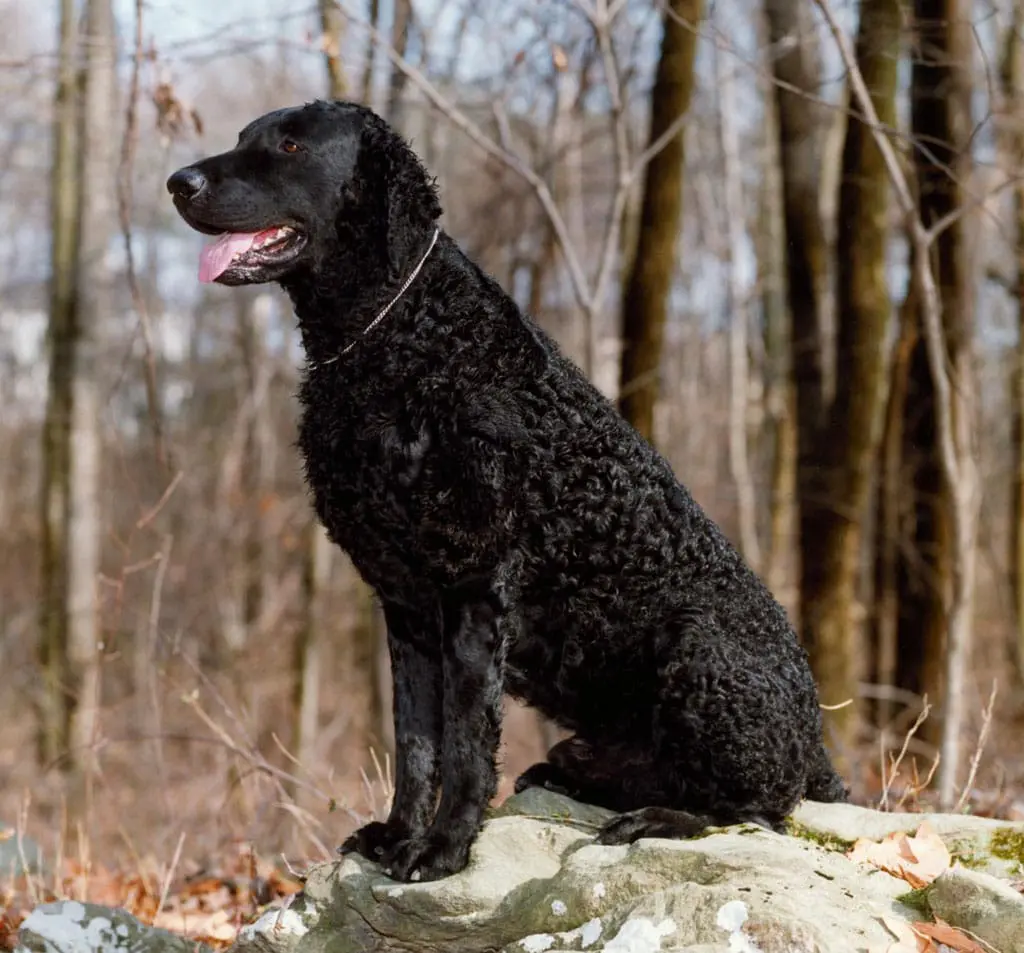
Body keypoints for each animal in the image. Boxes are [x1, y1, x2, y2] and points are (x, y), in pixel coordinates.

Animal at [165, 100, 839, 884]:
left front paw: (444, 848)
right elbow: (415, 742)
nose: (178, 182)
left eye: (292, 145)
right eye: (245, 137)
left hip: (702, 650)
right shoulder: (405, 602)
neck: (395, 335)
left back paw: (656, 818)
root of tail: (815, 743)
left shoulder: (474, 585)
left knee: (757, 806)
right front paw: (397, 836)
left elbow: (463, 741)